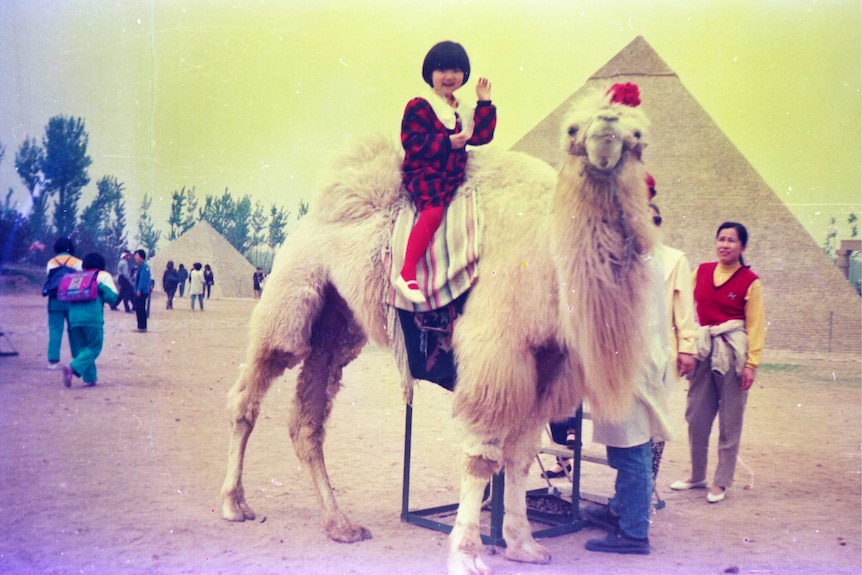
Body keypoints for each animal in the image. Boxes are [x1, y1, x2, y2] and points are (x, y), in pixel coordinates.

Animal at [221, 86, 656, 575]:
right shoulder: (496, 350)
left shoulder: (548, 364)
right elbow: (483, 457)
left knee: (306, 421)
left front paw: (524, 545)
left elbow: (521, 457)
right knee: (250, 391)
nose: (606, 135)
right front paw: (467, 554)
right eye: (572, 130)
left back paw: (340, 525)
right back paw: (235, 505)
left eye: (638, 134)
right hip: (291, 296)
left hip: (338, 325)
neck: (547, 252)